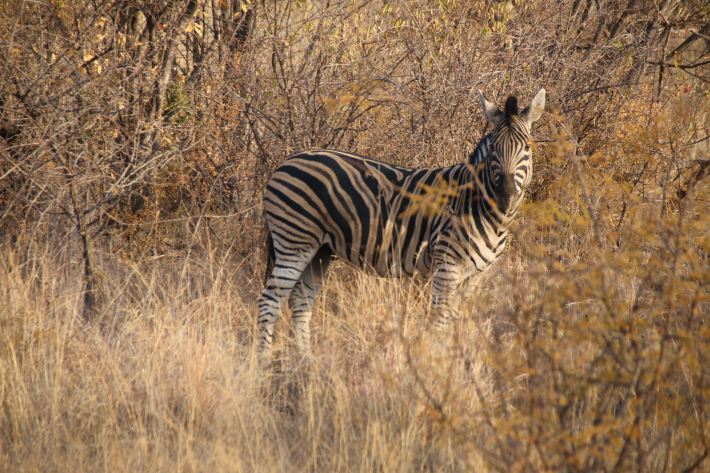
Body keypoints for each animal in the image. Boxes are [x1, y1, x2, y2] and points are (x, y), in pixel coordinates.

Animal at [258, 87, 548, 354]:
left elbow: (457, 321)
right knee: (269, 302)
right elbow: (440, 322)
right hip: (295, 241)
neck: (477, 205)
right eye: (494, 150)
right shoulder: (446, 266)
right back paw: (264, 365)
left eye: (527, 147)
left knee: (300, 303)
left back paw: (304, 362)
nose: (506, 195)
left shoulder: (475, 275)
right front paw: (437, 364)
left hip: (320, 250)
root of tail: (286, 161)